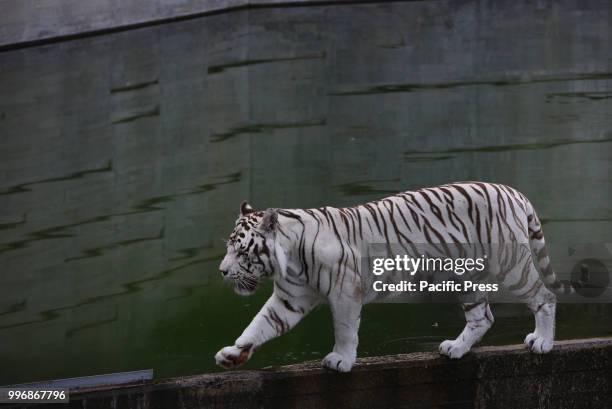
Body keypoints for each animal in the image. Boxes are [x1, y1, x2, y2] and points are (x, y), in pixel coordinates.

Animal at [214, 181, 572, 370]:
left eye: (241, 251)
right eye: (229, 248)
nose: (222, 271)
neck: (287, 258)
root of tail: (513, 192)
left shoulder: (345, 291)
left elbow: (345, 330)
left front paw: (341, 360)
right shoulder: (290, 299)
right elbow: (259, 325)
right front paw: (232, 354)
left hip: (512, 266)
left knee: (544, 297)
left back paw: (542, 341)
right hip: (463, 277)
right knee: (482, 316)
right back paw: (455, 347)